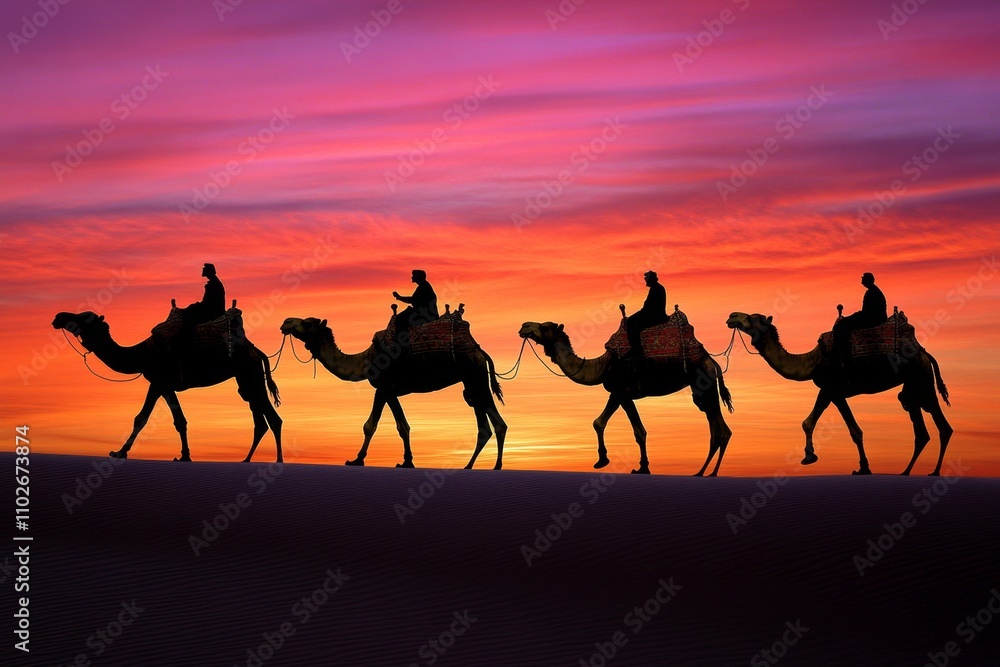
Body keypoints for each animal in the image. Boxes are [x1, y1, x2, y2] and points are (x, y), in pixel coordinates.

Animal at [53, 310, 284, 462]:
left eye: (83, 317)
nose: (58, 317)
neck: (141, 354)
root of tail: (257, 351)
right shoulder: (162, 385)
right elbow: (175, 420)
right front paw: (184, 456)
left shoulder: (159, 382)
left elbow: (144, 418)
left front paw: (119, 452)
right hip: (245, 380)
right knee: (260, 419)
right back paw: (246, 460)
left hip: (249, 374)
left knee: (274, 419)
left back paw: (278, 461)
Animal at [278, 318, 504, 470]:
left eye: (307, 323)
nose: (286, 322)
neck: (365, 360)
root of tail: (480, 351)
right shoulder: (386, 389)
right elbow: (388, 425)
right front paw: (403, 461)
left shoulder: (385, 386)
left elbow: (384, 425)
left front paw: (359, 460)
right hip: (472, 381)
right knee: (486, 425)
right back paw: (473, 465)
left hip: (475, 376)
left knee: (495, 423)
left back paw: (491, 466)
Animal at [520, 322, 732, 474]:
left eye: (544, 327)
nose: (524, 326)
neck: (601, 367)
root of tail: (711, 361)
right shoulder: (618, 393)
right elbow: (602, 422)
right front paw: (609, 461)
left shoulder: (621, 392)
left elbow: (635, 431)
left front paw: (637, 467)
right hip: (702, 390)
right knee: (717, 427)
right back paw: (703, 472)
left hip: (704, 385)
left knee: (721, 430)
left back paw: (708, 473)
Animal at [724, 312, 948, 474]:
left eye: (752, 318)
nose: (732, 316)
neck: (813, 361)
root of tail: (925, 353)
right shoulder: (830, 391)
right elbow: (828, 425)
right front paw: (814, 457)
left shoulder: (833, 389)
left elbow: (843, 429)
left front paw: (859, 467)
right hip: (913, 385)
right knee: (921, 427)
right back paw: (908, 471)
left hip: (921, 377)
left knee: (940, 423)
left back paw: (934, 472)